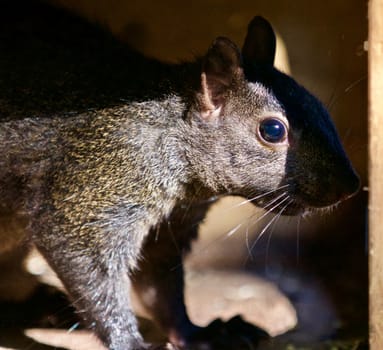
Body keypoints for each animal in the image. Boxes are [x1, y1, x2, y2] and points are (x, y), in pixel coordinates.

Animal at [0, 0, 360, 350]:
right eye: (272, 130)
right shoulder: (89, 196)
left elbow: (160, 286)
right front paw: (130, 342)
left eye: (319, 106)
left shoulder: (171, 226)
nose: (350, 186)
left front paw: (199, 334)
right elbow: (94, 276)